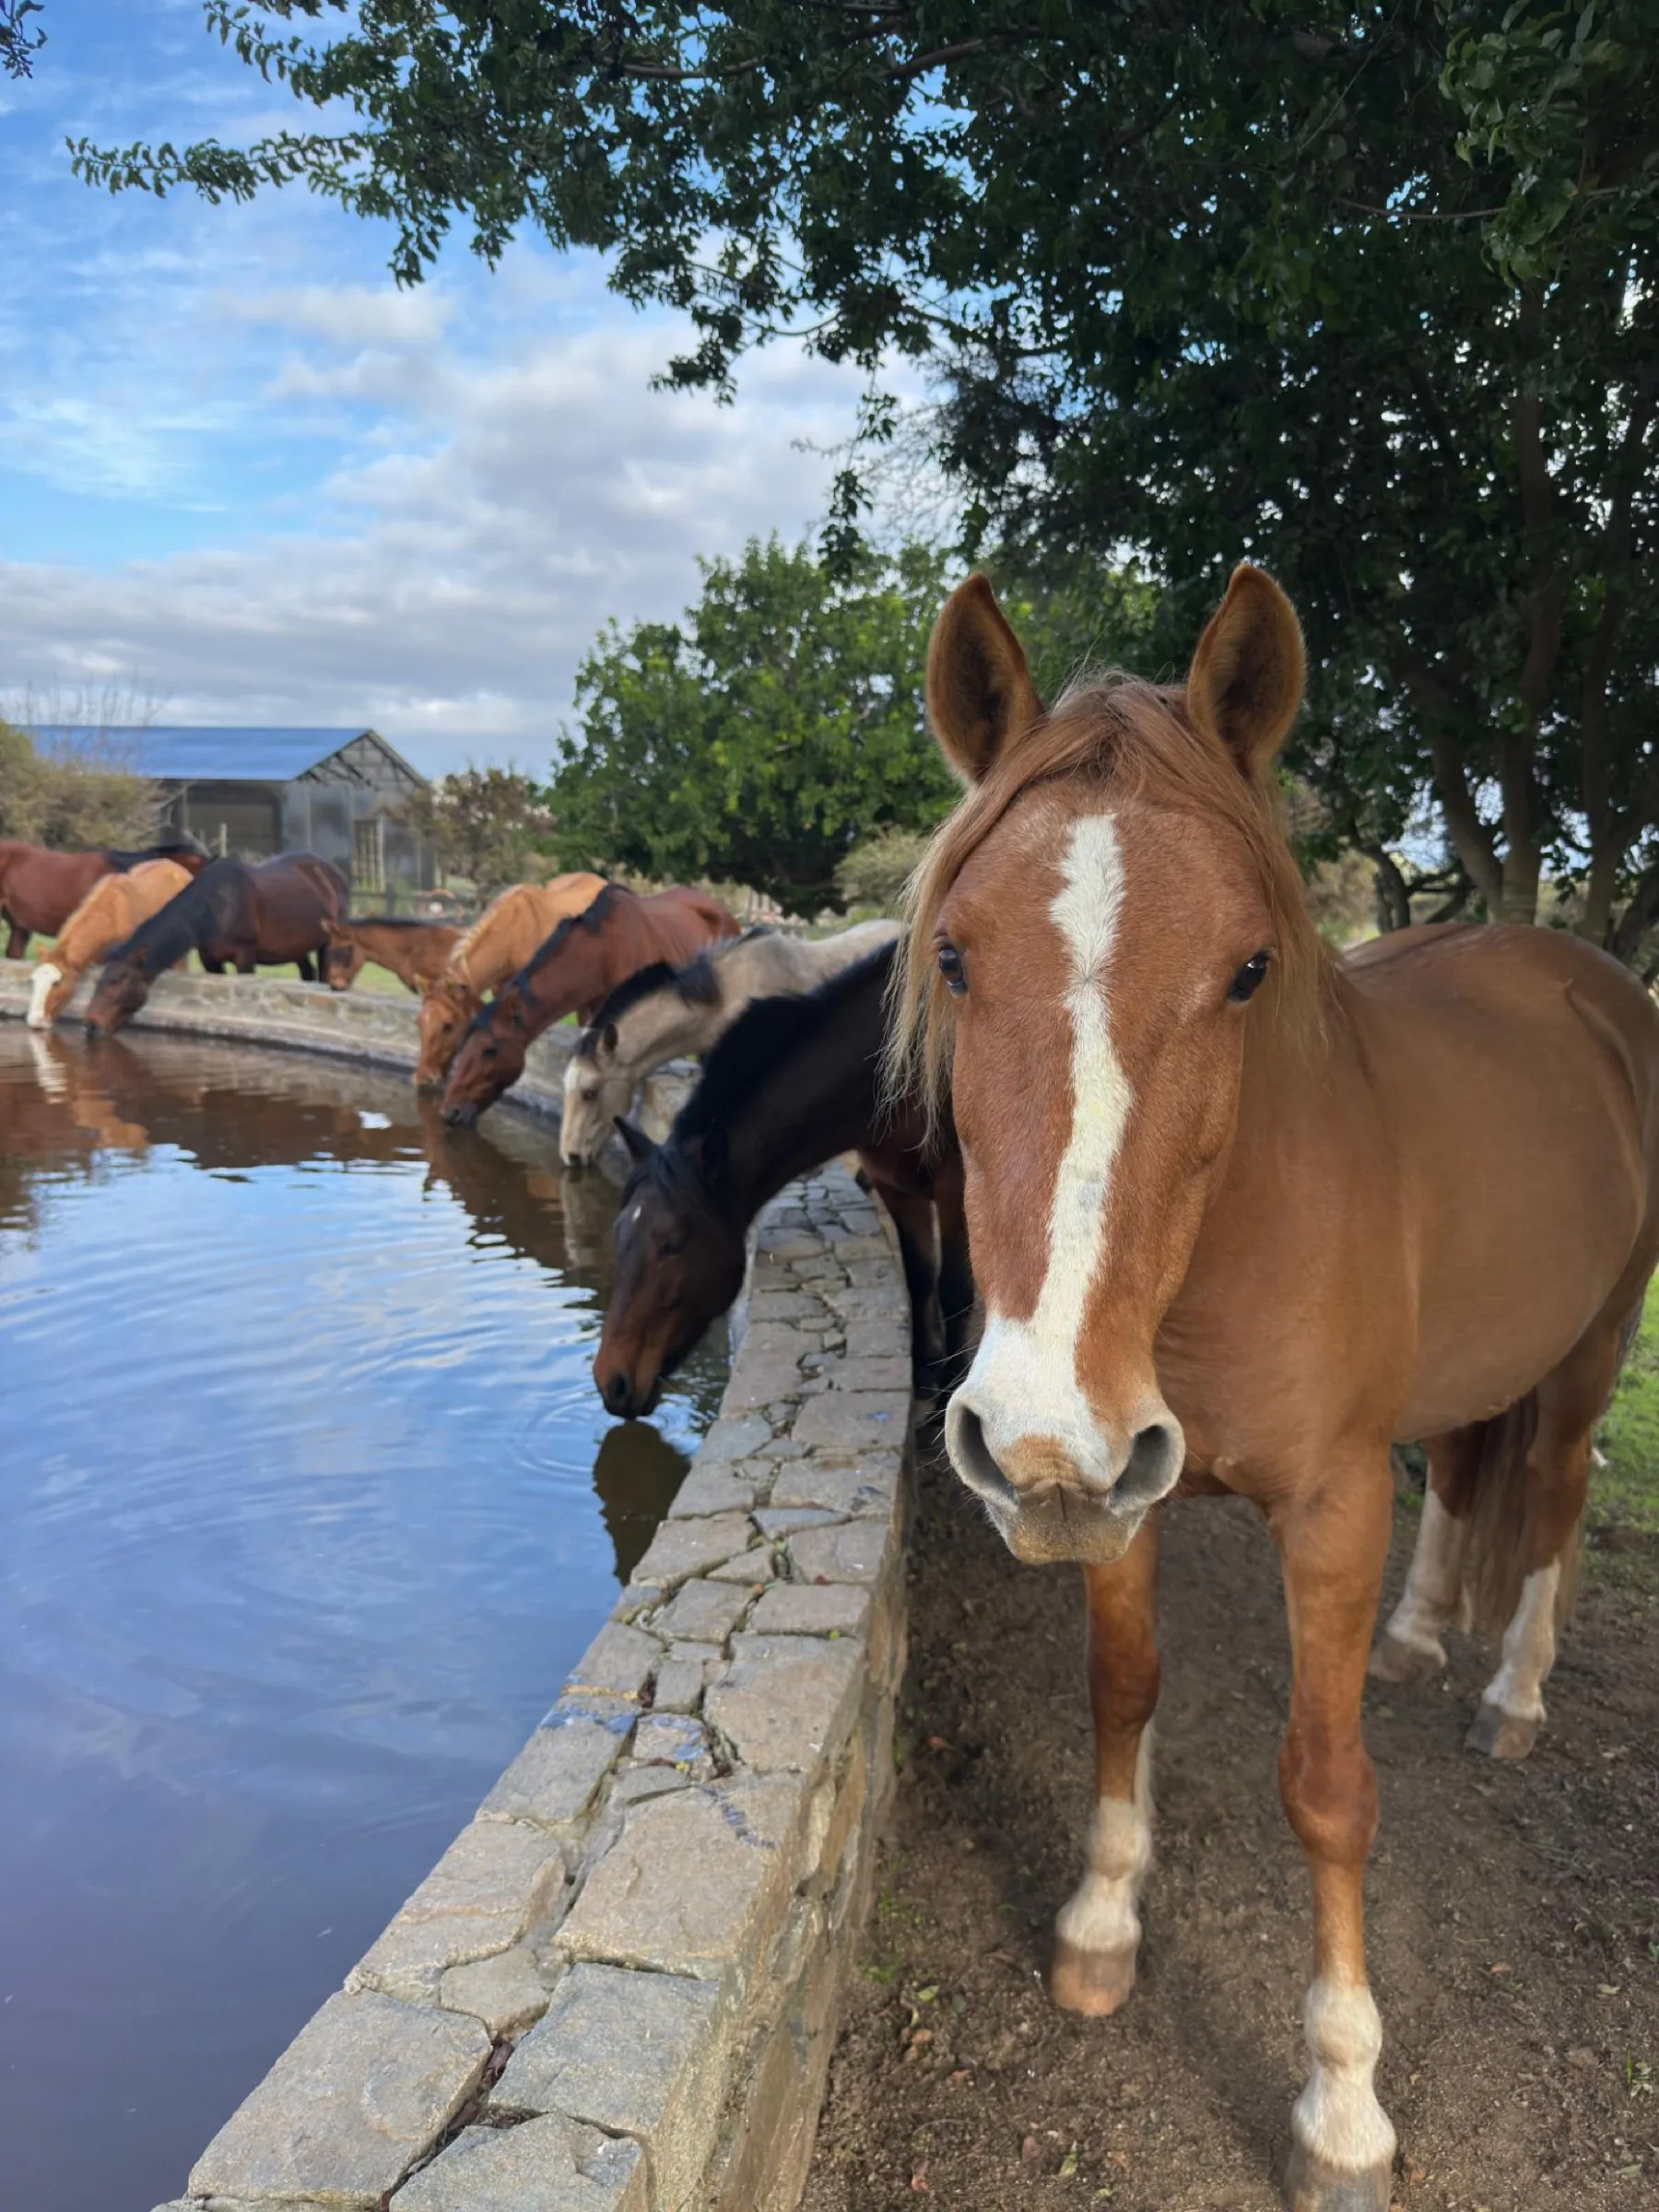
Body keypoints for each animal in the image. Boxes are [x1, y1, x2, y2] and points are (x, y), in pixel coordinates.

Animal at [85, 852, 349, 1034]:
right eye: (99, 980)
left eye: (116, 981)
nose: (91, 1025)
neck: (216, 908)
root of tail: (332, 871)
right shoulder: (210, 960)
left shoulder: (245, 958)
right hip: (297, 948)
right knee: (308, 972)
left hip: (329, 941)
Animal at [591, 942, 971, 1418]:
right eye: (619, 1232)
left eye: (672, 1245)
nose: (612, 1382)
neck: (902, 1066)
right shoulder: (895, 1184)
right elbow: (920, 1276)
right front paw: (924, 1376)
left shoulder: (956, 1187)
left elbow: (955, 1291)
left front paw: (949, 1398)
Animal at [887, 564, 1659, 2212]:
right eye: (956, 957)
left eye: (1247, 967)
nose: (1024, 1428)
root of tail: (1586, 981)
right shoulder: (1115, 1485)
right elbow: (1122, 1688)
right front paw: (1101, 1926)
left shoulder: (1328, 1504)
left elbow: (1326, 1787)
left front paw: (1344, 2107)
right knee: (1476, 1480)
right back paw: (1423, 1641)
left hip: (1592, 1352)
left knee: (1554, 1494)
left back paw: (1511, 1691)